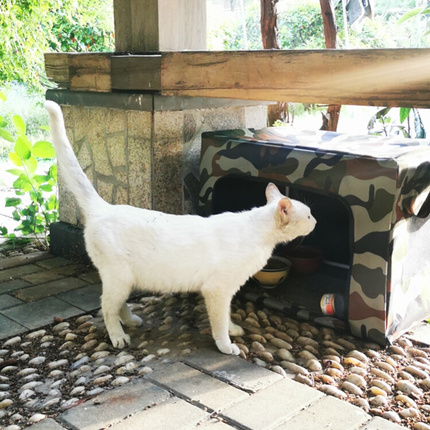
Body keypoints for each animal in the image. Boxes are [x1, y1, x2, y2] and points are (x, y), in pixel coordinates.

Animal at [45, 100, 318, 352]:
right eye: (308, 215)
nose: (316, 221)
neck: (259, 234)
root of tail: (104, 207)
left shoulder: (227, 291)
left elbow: (228, 315)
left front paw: (233, 330)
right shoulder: (217, 290)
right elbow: (219, 321)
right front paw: (226, 345)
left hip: (124, 281)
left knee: (116, 304)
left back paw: (131, 321)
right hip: (118, 278)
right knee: (106, 307)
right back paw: (118, 336)